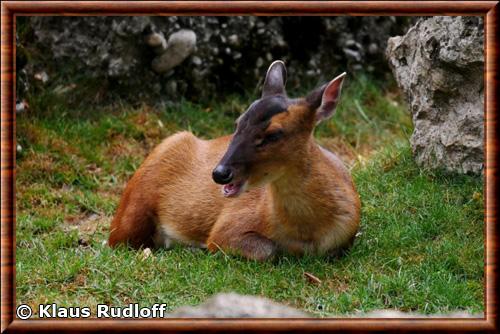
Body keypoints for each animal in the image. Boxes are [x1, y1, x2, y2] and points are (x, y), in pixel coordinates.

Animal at [108, 60, 360, 260]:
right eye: (238, 122)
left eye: (273, 134)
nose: (220, 173)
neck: (308, 235)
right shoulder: (226, 227)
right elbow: (267, 250)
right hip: (133, 212)